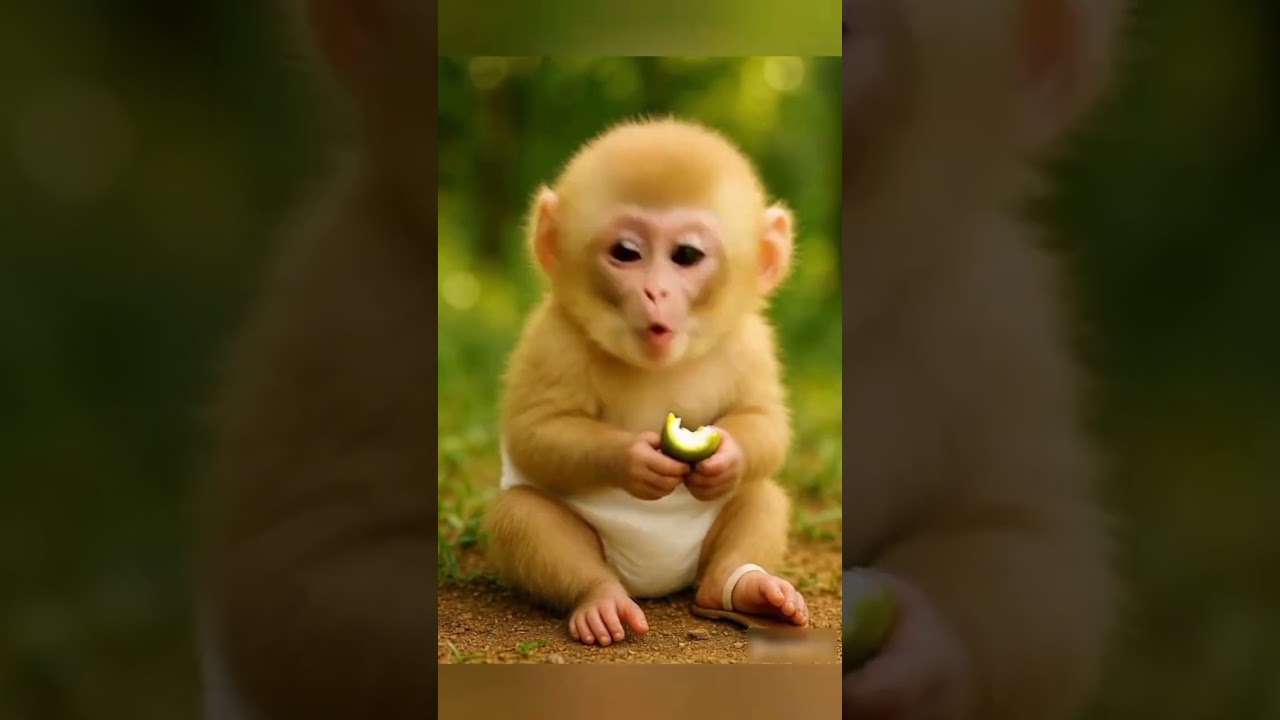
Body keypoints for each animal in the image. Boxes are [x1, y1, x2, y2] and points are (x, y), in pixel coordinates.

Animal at [480, 117, 814, 648]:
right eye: (626, 253)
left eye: (687, 255)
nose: (654, 291)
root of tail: (655, 584)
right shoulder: (553, 339)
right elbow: (536, 430)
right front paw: (634, 459)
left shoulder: (750, 342)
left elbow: (765, 420)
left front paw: (728, 456)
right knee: (525, 517)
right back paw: (601, 601)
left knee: (760, 497)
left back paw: (750, 587)